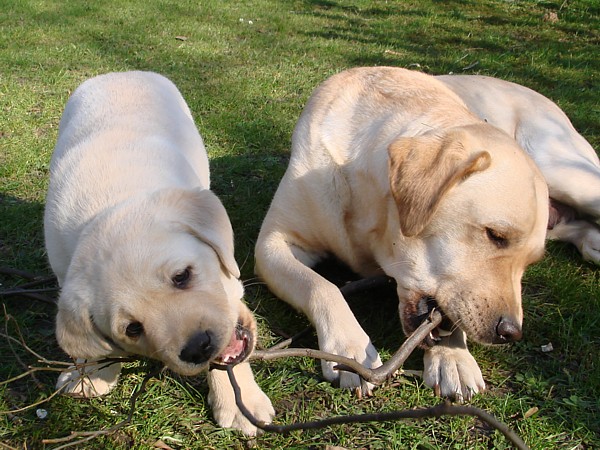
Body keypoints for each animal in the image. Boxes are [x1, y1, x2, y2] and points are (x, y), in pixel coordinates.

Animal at [44, 71, 274, 436]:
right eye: (133, 329)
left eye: (182, 276)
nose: (198, 347)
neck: (104, 209)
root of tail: (120, 73)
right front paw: (91, 372)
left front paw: (242, 402)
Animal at [253, 65, 548, 400]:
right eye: (496, 235)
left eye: (530, 263)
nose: (510, 332)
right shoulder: (274, 242)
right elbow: (321, 286)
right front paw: (349, 347)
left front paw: (454, 357)